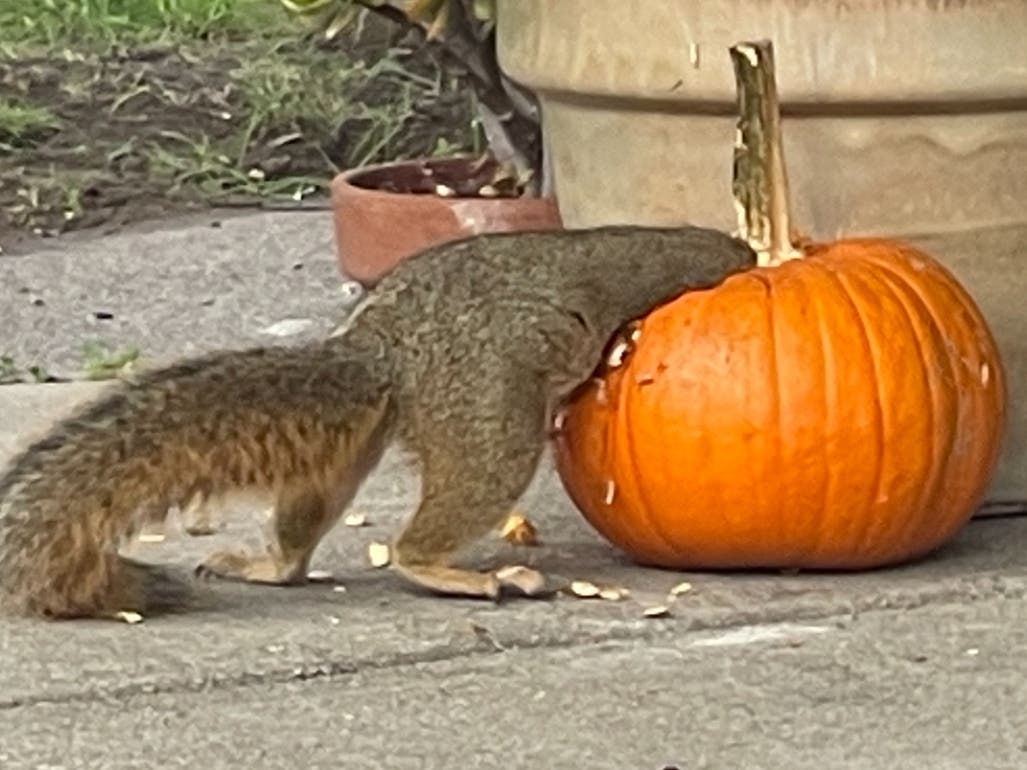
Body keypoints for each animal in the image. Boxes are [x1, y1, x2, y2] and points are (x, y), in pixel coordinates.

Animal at [0, 225, 756, 619]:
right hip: (487, 415)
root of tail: (384, 344)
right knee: (426, 533)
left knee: (304, 526)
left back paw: (269, 566)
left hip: (349, 454)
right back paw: (457, 573)